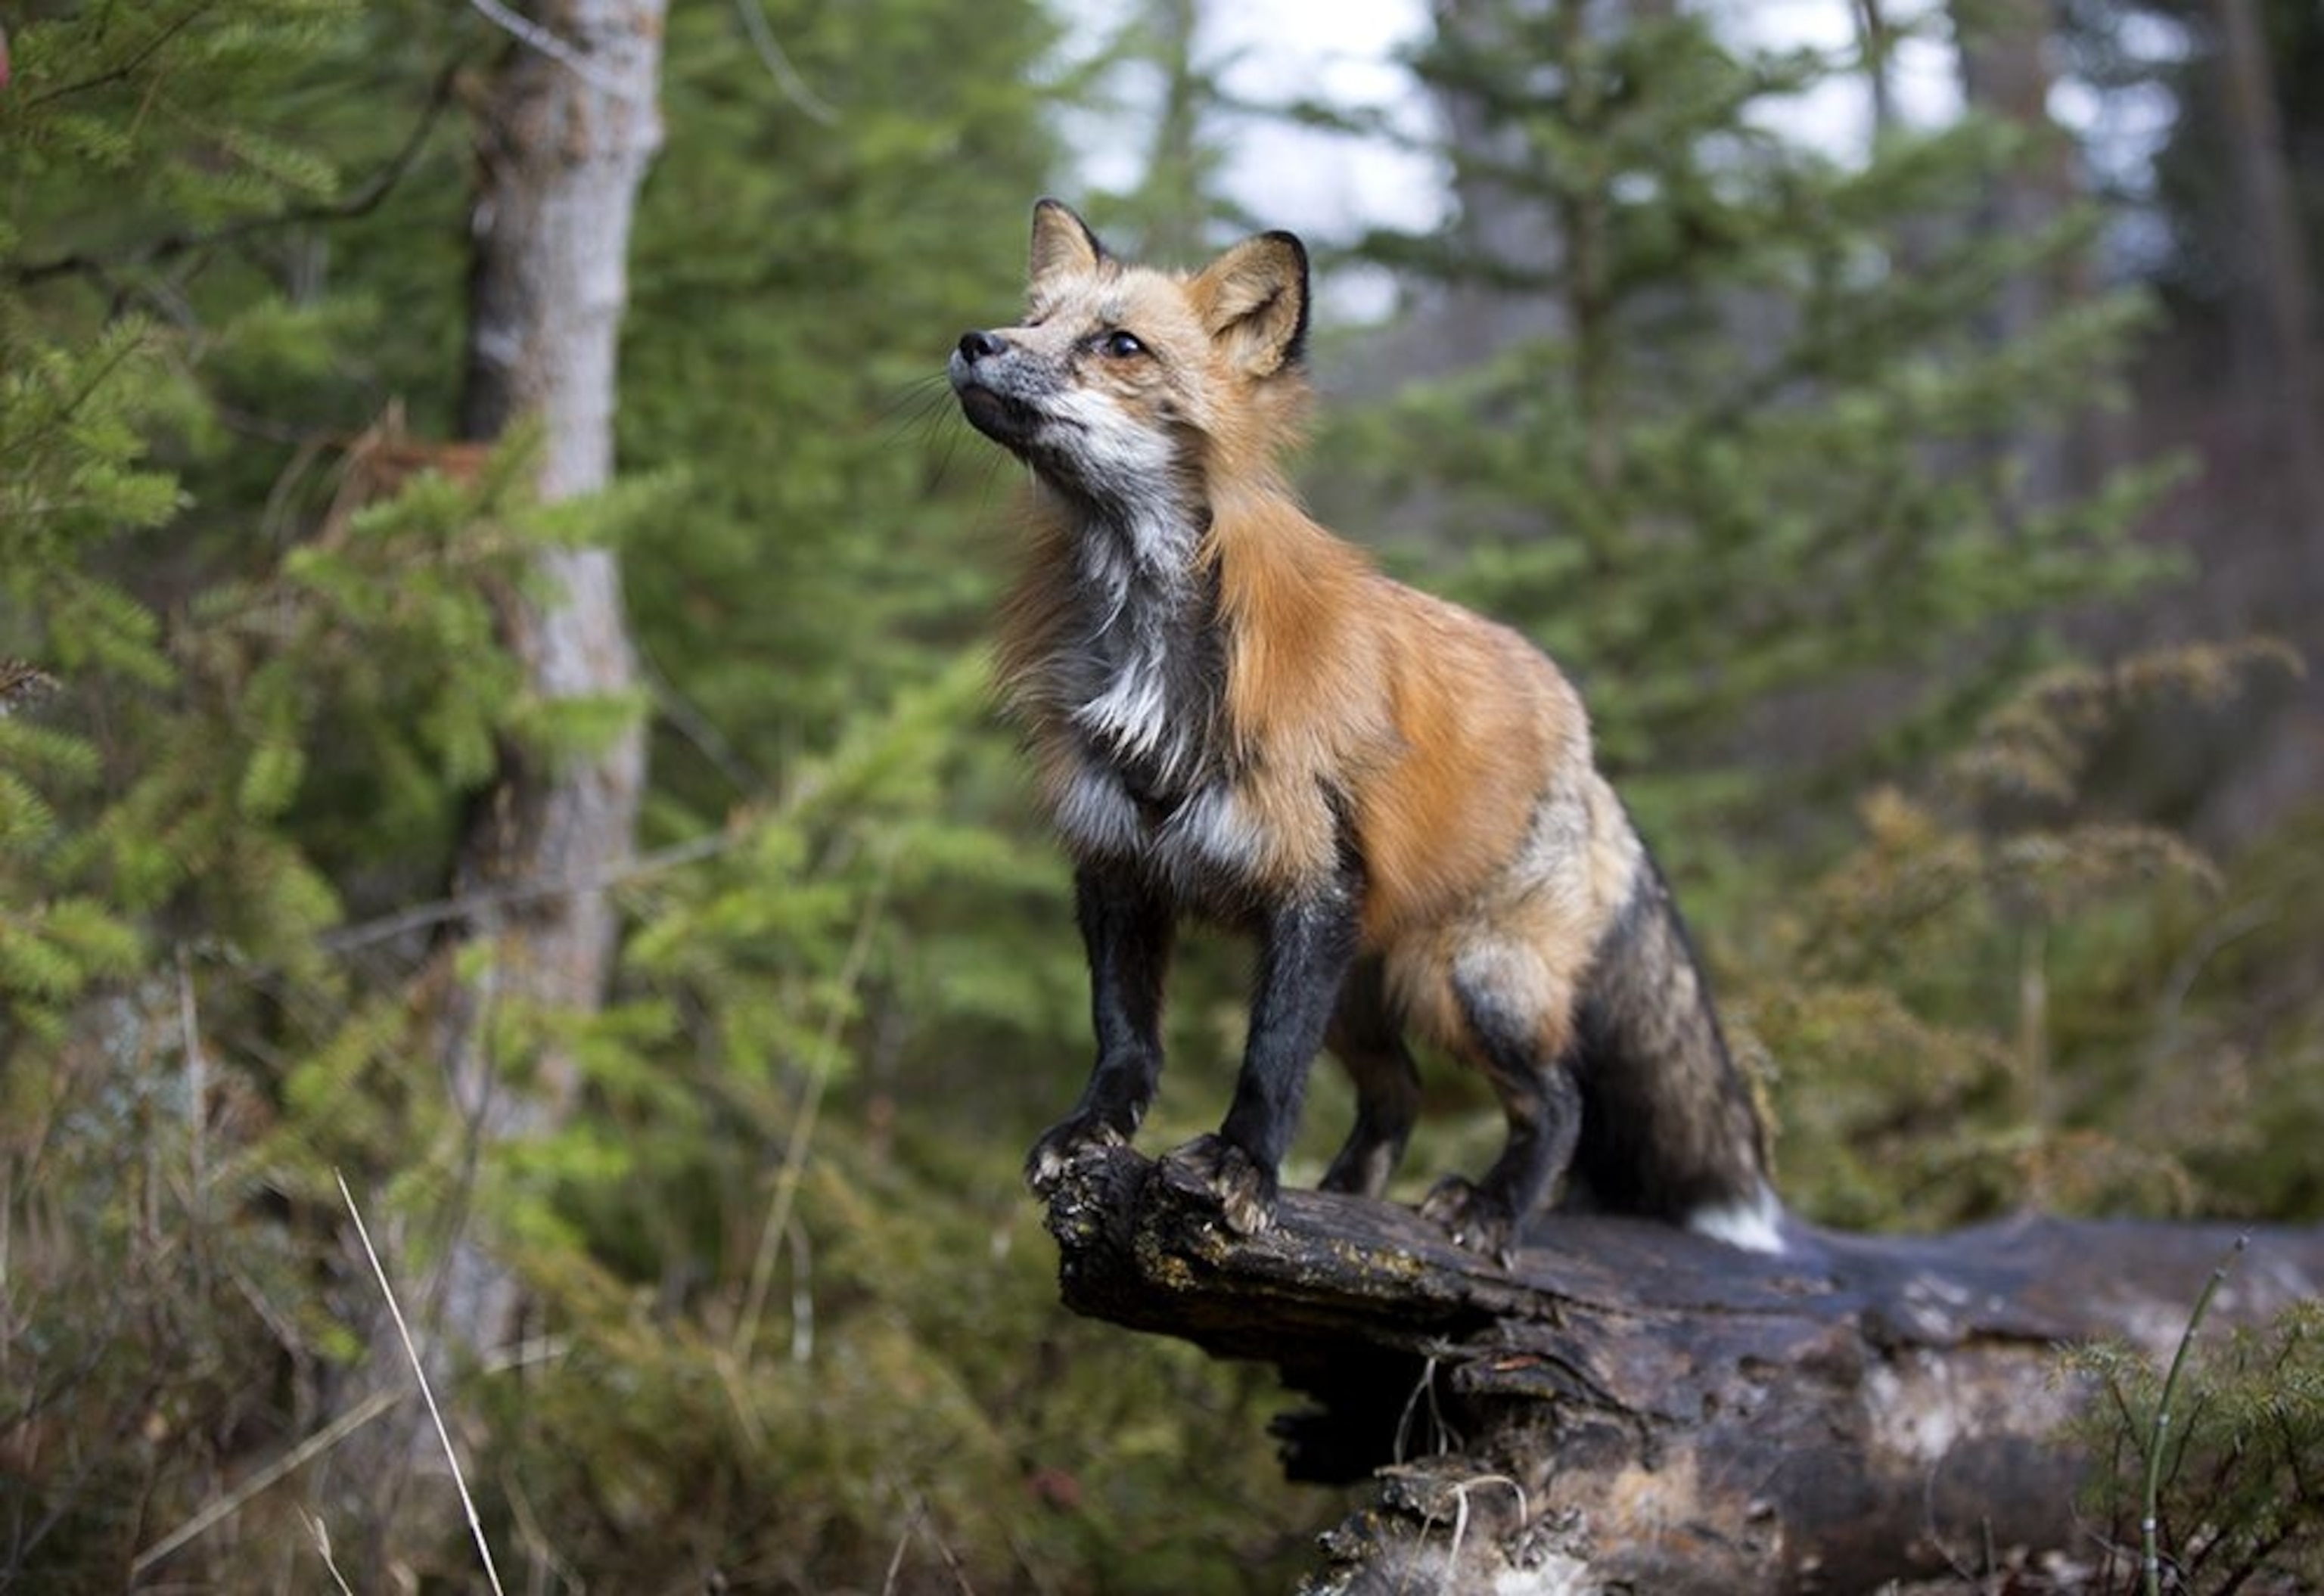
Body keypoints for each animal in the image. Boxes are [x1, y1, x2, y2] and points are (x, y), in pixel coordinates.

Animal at [950, 198, 1786, 1258]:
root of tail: (1587, 749)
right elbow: (1124, 1036)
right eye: (1034, 320)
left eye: (1120, 345)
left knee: (1560, 1100)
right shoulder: (1118, 863)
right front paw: (1095, 1129)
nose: (972, 343)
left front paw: (1243, 1168)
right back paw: (1349, 1201)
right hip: (1363, 990)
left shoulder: (1313, 887)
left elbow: (1269, 1063)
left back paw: (1492, 1206)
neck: (1154, 659)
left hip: (1466, 979)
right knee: (1401, 1097)